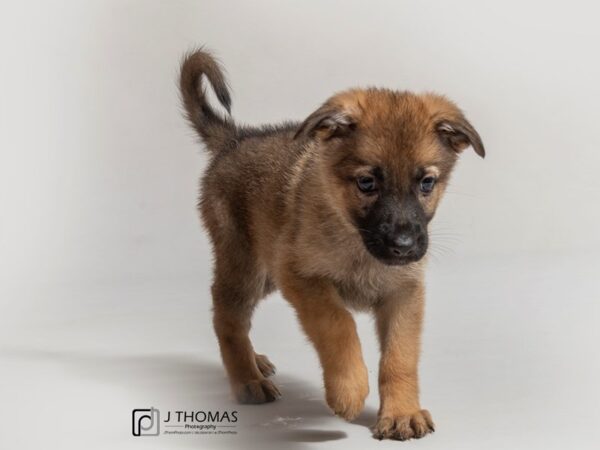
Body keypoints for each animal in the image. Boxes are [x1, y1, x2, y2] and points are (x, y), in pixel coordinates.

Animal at [178, 48, 482, 440]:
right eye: (367, 182)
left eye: (426, 183)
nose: (403, 246)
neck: (358, 246)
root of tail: (236, 138)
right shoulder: (300, 276)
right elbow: (338, 324)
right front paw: (348, 389)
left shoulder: (405, 292)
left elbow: (400, 355)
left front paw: (402, 413)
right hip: (247, 265)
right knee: (226, 317)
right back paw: (247, 380)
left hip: (265, 275)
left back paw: (256, 362)